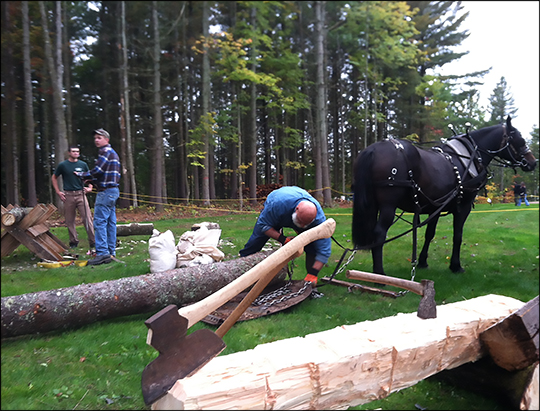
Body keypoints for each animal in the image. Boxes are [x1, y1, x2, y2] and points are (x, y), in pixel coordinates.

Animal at [350, 116, 536, 276]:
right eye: (520, 140)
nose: (533, 162)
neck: (468, 156)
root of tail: (373, 149)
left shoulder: (436, 207)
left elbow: (429, 234)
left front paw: (422, 262)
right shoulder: (463, 207)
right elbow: (458, 235)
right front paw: (456, 265)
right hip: (388, 205)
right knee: (379, 233)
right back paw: (379, 274)